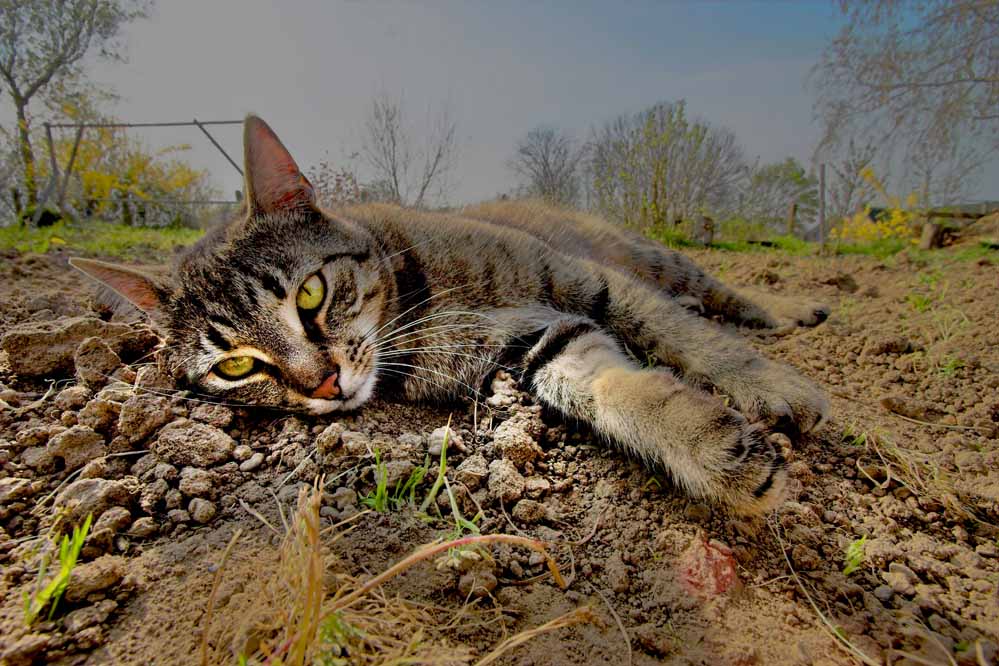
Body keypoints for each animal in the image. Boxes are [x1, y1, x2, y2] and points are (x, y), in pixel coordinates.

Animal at [74, 116, 832, 516]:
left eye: (310, 295)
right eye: (235, 366)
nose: (323, 385)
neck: (415, 304)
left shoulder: (586, 283)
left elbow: (694, 344)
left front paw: (772, 387)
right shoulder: (536, 342)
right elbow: (617, 390)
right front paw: (714, 450)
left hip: (648, 257)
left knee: (717, 294)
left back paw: (793, 308)